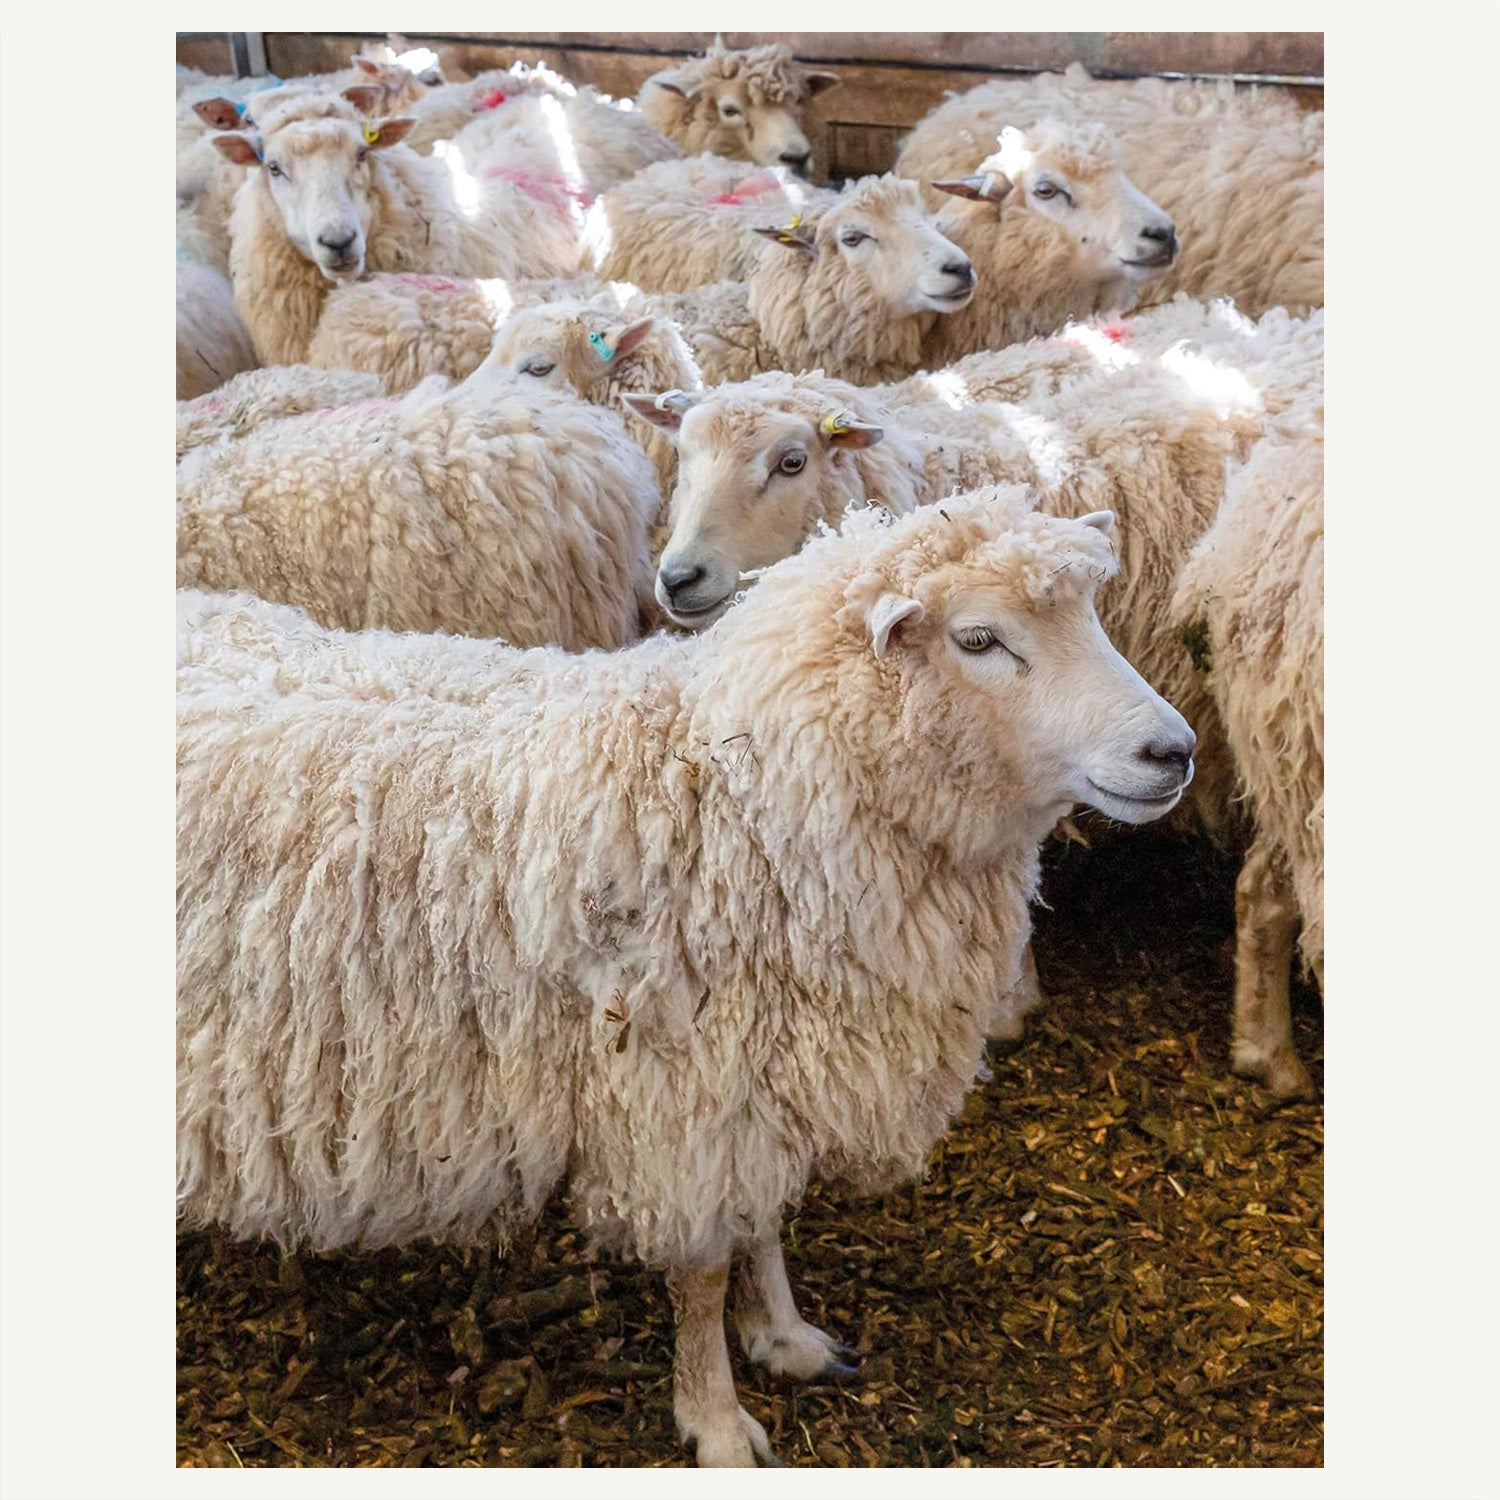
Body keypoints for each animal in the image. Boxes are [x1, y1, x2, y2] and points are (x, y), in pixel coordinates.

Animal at [177, 487, 1196, 1466]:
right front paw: (715, 1421)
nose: (1174, 752)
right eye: (979, 639)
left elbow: (764, 1222)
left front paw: (785, 1338)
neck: (739, 794)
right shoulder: (685, 1095)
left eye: (1093, 614)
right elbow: (702, 1274)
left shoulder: (761, 1077)